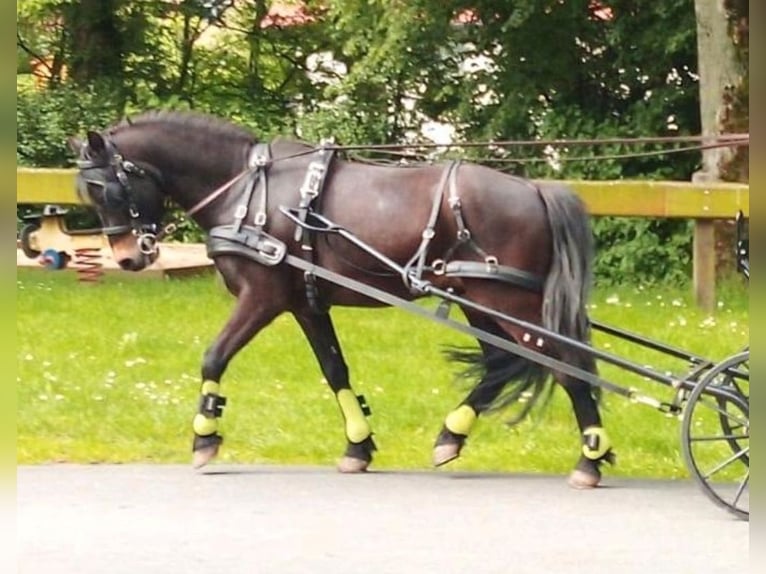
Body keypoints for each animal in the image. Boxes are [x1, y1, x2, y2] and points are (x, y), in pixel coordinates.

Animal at [69, 110, 616, 488]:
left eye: (106, 189)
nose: (128, 258)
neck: (247, 192)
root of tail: (536, 189)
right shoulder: (306, 303)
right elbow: (335, 371)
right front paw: (358, 446)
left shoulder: (262, 296)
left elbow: (214, 356)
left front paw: (205, 437)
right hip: (477, 300)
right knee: (505, 364)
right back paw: (451, 436)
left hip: (508, 303)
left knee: (568, 364)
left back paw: (589, 458)